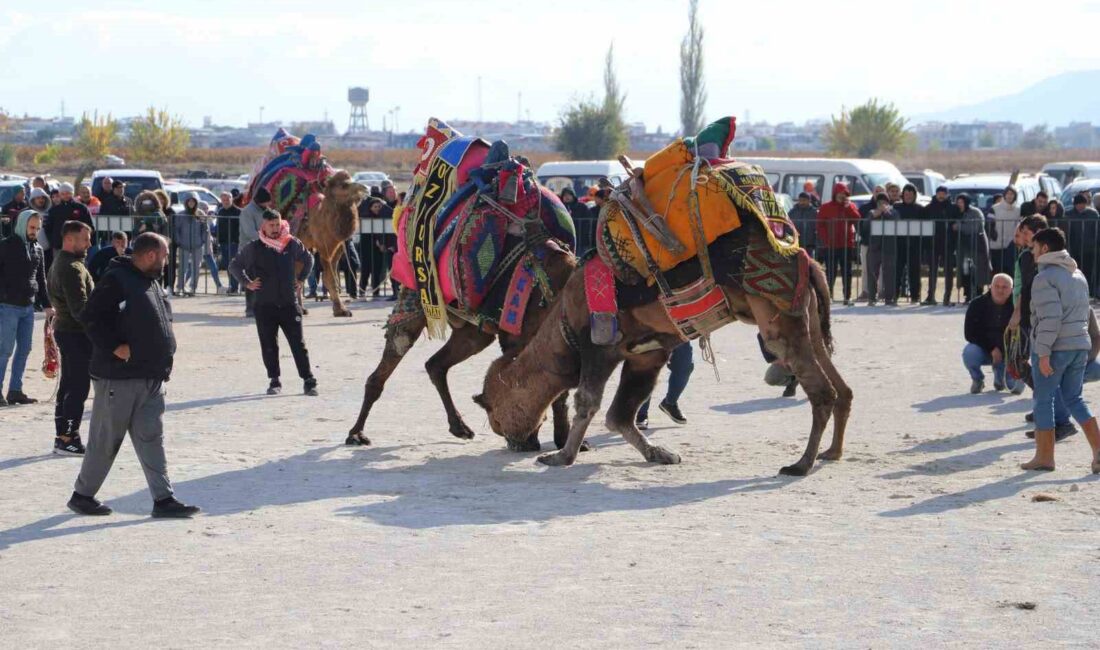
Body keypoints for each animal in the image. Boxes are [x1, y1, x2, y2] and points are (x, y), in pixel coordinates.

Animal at [297, 170, 369, 318]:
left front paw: (341, 309)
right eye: (344, 185)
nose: (365, 188)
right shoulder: (324, 247)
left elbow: (332, 278)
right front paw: (340, 309)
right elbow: (329, 278)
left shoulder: (337, 247)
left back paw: (301, 308)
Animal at [345, 234, 585, 453]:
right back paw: (356, 434)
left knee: (435, 364)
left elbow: (559, 390)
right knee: (394, 352)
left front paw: (566, 441)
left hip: (472, 331)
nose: (511, 437)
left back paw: (459, 427)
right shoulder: (517, 339)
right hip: (417, 296)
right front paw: (532, 440)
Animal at [470, 224, 849, 477]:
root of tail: (806, 260)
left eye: (494, 413)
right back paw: (831, 452)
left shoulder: (598, 348)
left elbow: (588, 403)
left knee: (822, 391)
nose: (511, 439)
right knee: (840, 387)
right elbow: (619, 414)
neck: (564, 321)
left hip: (778, 320)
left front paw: (560, 457)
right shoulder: (645, 355)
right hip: (809, 321)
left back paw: (800, 464)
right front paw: (660, 454)